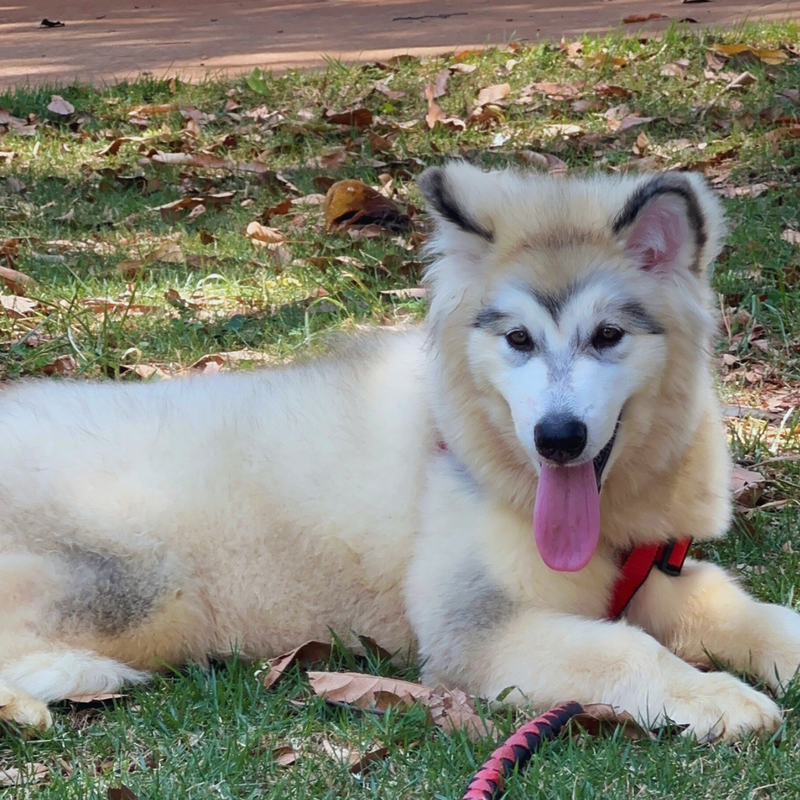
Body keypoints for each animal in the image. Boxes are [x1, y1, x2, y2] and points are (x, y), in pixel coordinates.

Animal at [1, 162, 800, 744]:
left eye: (608, 335)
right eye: (518, 339)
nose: (558, 437)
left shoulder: (654, 572)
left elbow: (744, 608)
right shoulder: (471, 630)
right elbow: (625, 649)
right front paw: (716, 695)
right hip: (136, 582)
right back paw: (45, 694)